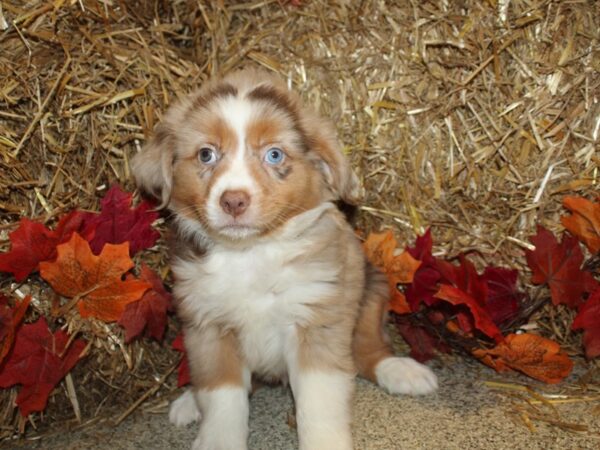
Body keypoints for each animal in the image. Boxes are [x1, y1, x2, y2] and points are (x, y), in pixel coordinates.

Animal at [134, 67, 438, 450]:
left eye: (275, 155)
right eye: (206, 155)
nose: (233, 201)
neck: (251, 253)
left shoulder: (317, 319)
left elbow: (319, 403)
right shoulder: (207, 327)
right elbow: (222, 396)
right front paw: (216, 436)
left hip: (372, 291)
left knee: (368, 348)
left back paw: (400, 370)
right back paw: (190, 401)